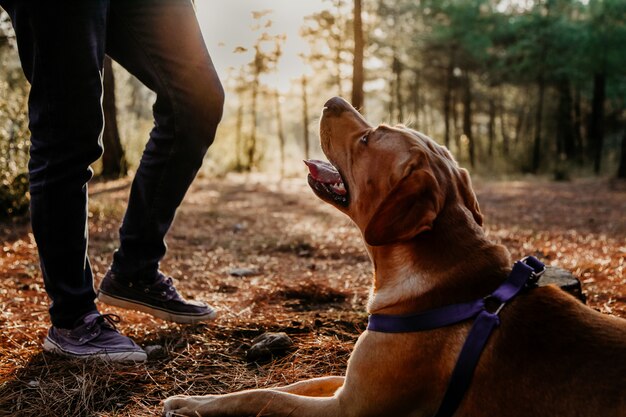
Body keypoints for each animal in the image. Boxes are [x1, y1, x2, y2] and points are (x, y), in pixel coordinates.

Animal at [162, 97, 624, 416]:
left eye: (368, 138)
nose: (332, 100)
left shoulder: (347, 409)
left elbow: (268, 397)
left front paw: (192, 406)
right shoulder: (348, 385)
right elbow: (295, 383)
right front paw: (200, 398)